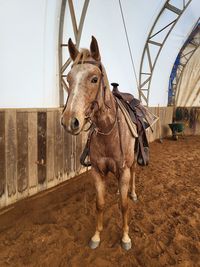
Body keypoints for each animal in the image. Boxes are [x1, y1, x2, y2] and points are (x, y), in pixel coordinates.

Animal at [61, 36, 138, 252]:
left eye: (94, 79)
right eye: (68, 79)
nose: (69, 121)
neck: (108, 130)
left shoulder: (124, 170)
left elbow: (123, 205)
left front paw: (125, 237)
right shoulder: (97, 171)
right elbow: (100, 203)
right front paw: (96, 235)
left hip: (133, 161)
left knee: (134, 174)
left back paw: (133, 193)